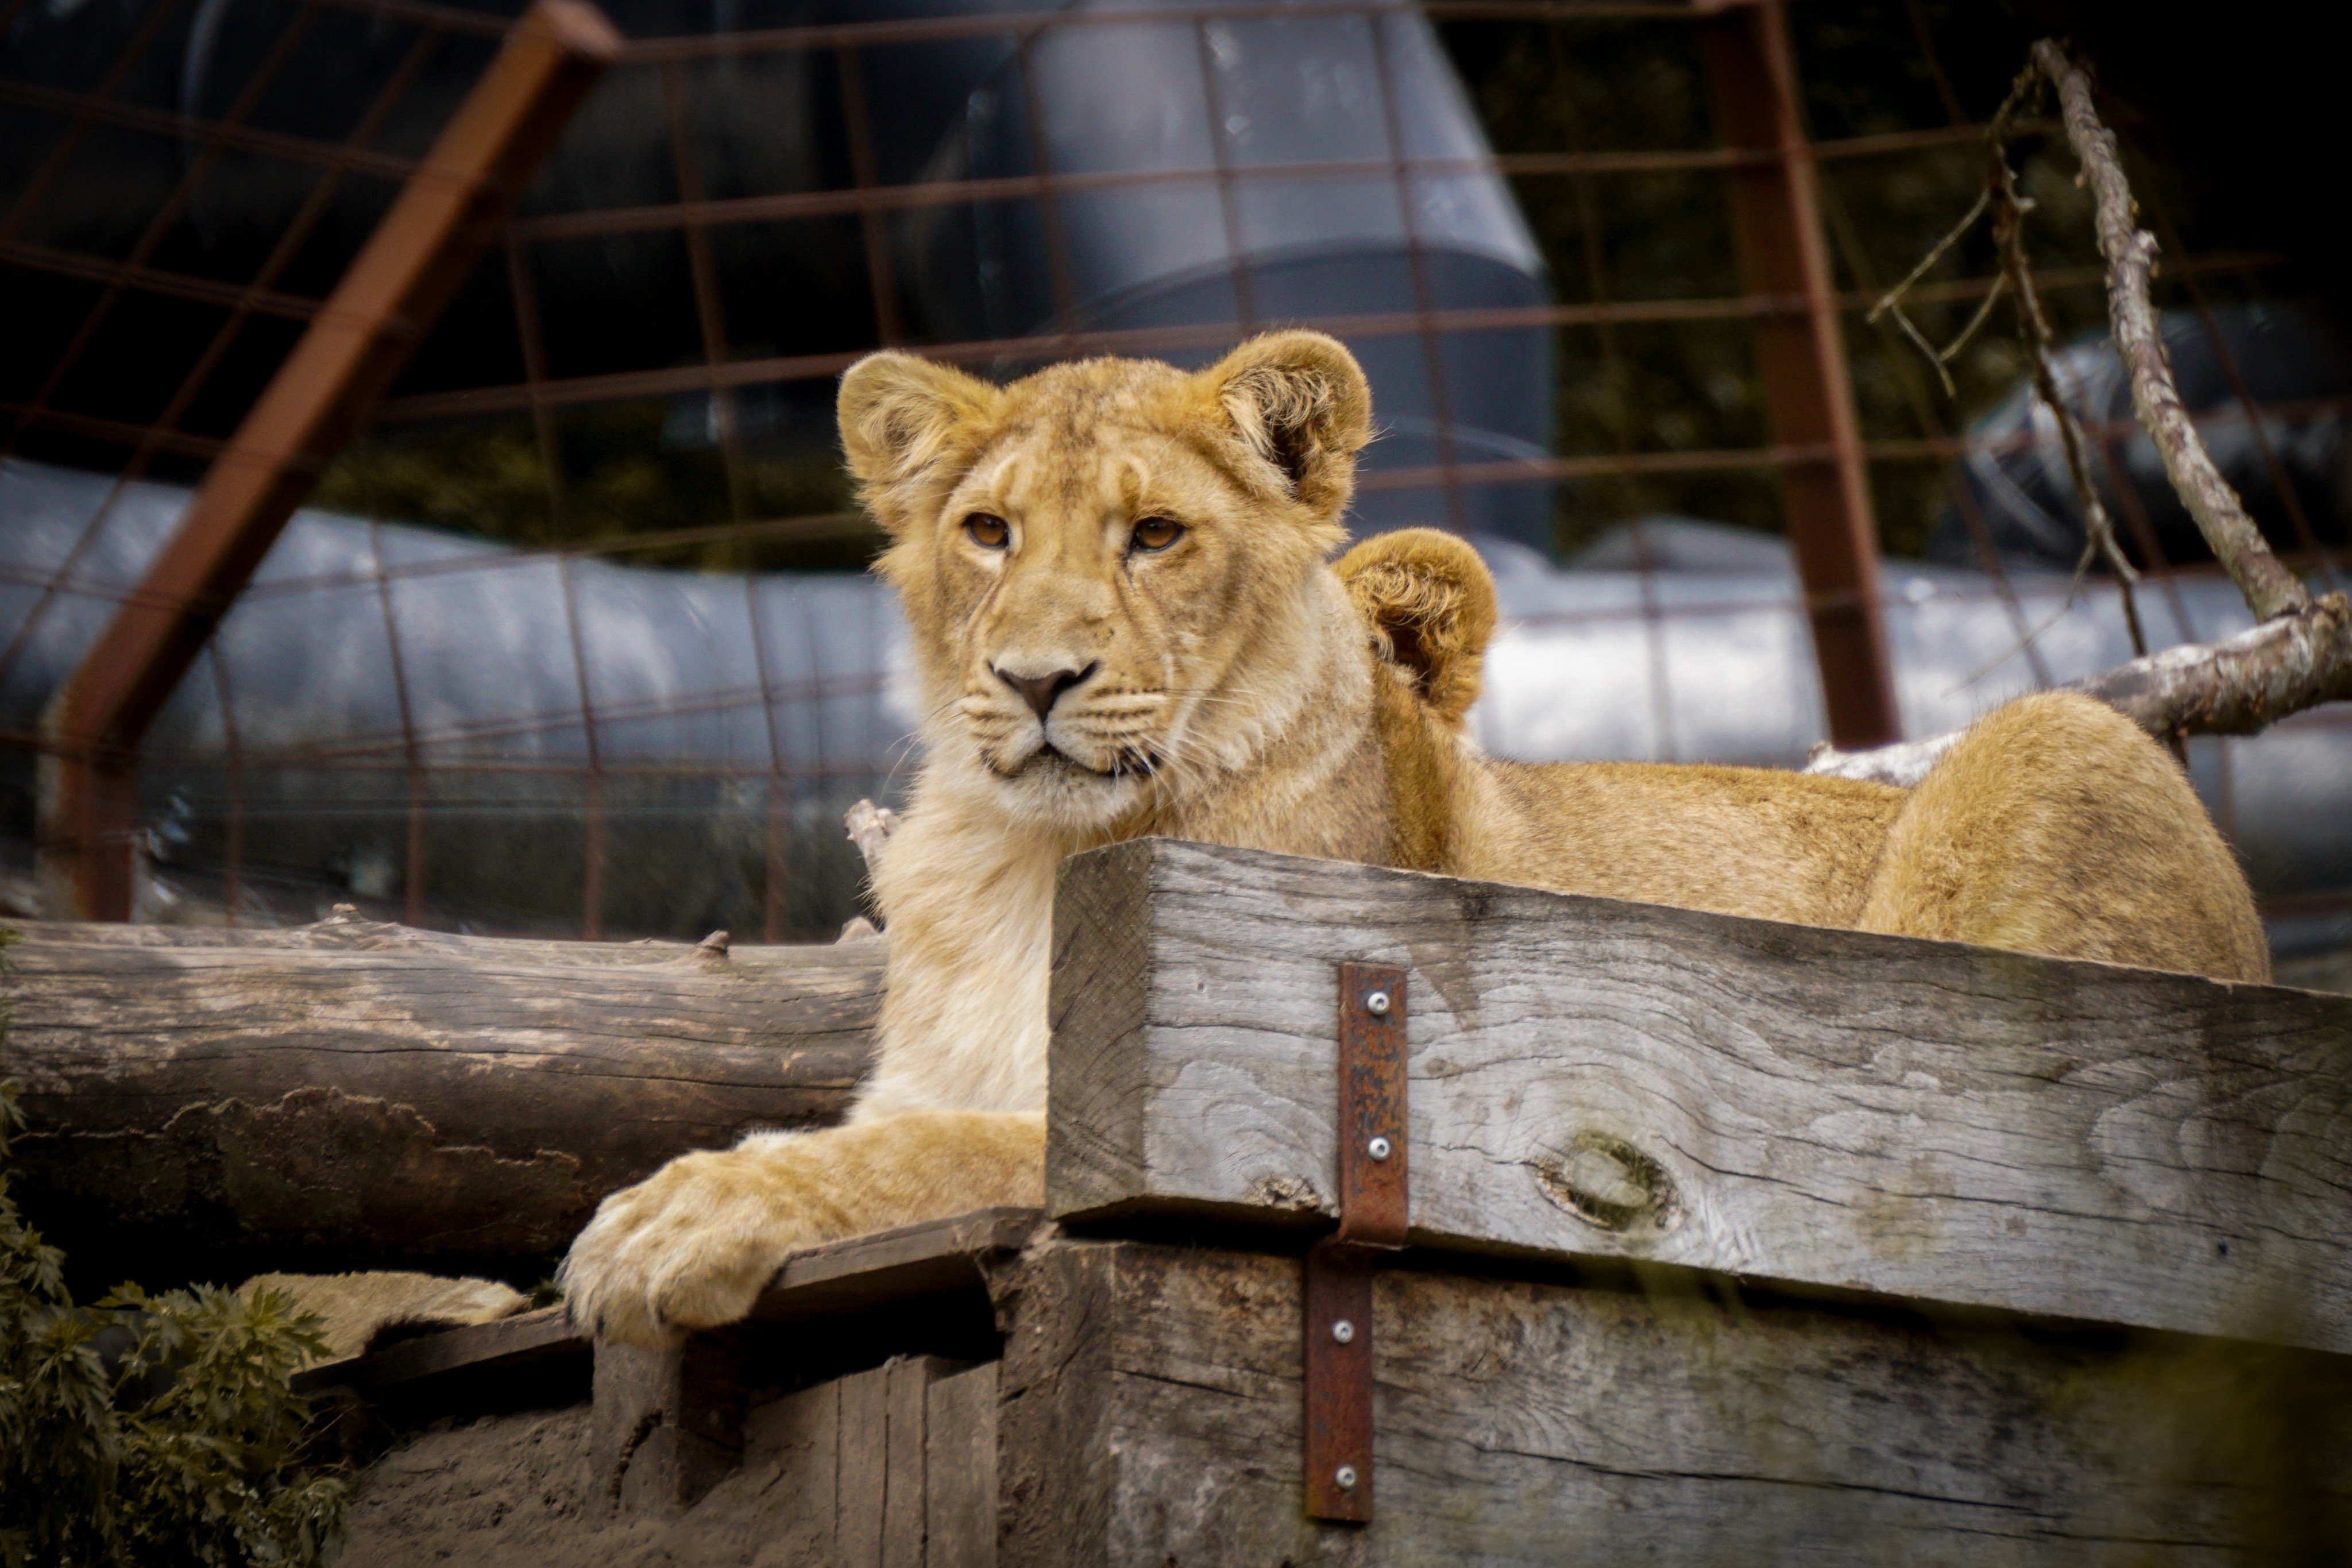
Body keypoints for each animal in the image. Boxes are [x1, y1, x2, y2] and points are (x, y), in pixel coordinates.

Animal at [559, 330, 2269, 1346]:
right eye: (987, 532)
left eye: (1154, 535)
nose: (1036, 680)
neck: (1025, 859)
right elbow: (901, 1124)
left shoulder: (1202, 1101)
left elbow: (936, 1151)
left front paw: (670, 1217)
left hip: (2059, 742)